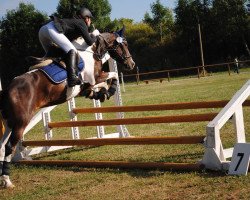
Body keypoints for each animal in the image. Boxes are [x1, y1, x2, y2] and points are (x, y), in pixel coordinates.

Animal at [0, 26, 135, 188]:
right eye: (124, 45)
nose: (132, 64)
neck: (91, 52)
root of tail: (8, 89)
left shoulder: (86, 86)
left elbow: (98, 86)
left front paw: (99, 94)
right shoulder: (94, 79)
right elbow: (112, 74)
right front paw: (109, 91)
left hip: (9, 124)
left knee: (2, 146)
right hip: (21, 123)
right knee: (9, 147)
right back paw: (7, 180)